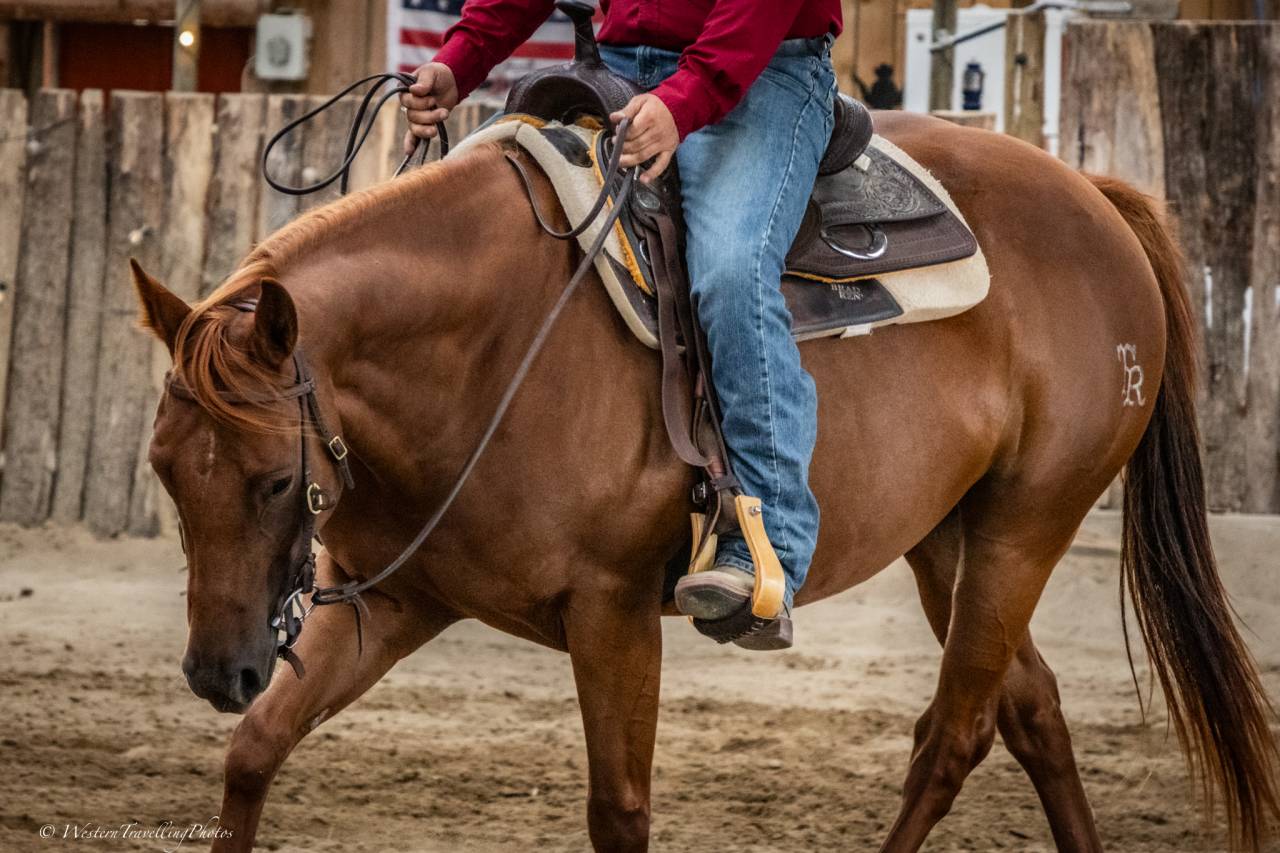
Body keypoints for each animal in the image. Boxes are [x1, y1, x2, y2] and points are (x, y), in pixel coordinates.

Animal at [132, 111, 1279, 852]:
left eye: (273, 480)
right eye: (165, 472)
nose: (217, 671)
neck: (489, 343)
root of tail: (1097, 198)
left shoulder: (610, 613)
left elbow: (620, 812)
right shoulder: (410, 595)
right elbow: (256, 752)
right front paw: (245, 726)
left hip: (1024, 525)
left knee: (954, 732)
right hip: (946, 537)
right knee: (1030, 708)